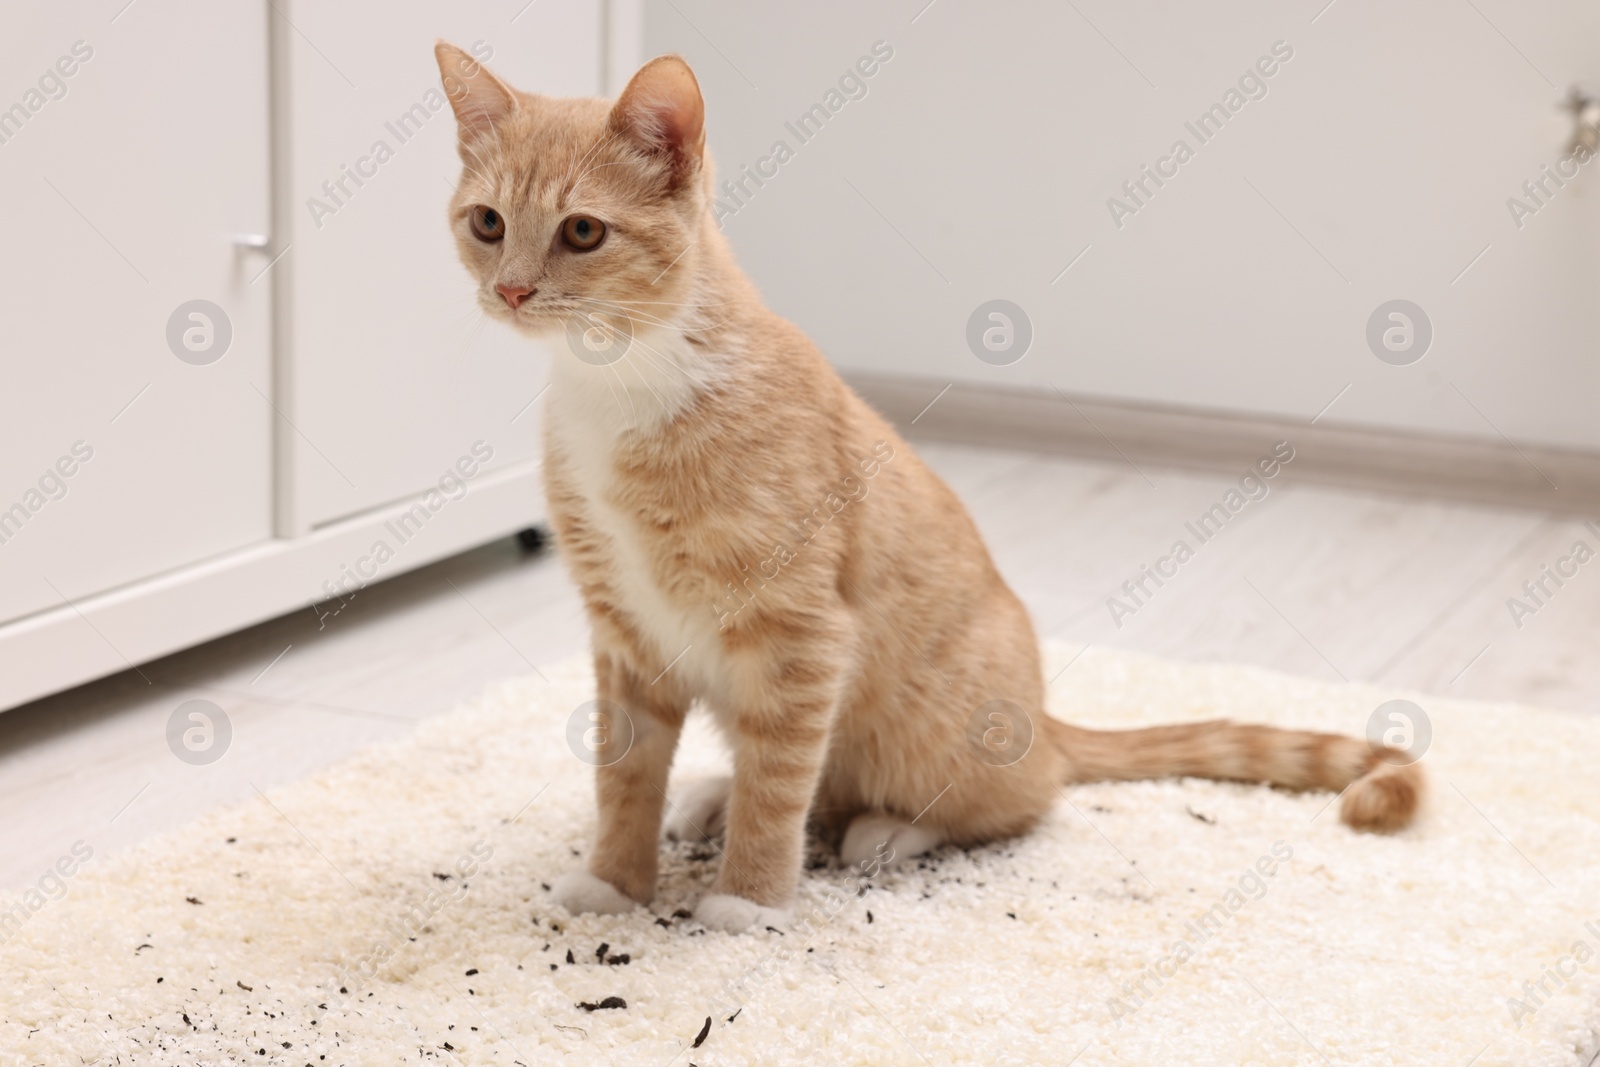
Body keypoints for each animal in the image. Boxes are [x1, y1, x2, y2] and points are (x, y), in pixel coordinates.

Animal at [432, 41, 1420, 927]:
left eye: (582, 231)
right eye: (488, 223)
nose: (512, 290)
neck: (623, 383)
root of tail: (1048, 717)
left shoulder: (801, 632)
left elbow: (779, 781)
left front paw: (748, 900)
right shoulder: (625, 631)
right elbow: (625, 773)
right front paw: (614, 881)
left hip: (936, 729)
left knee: (1007, 800)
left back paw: (888, 829)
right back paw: (713, 792)